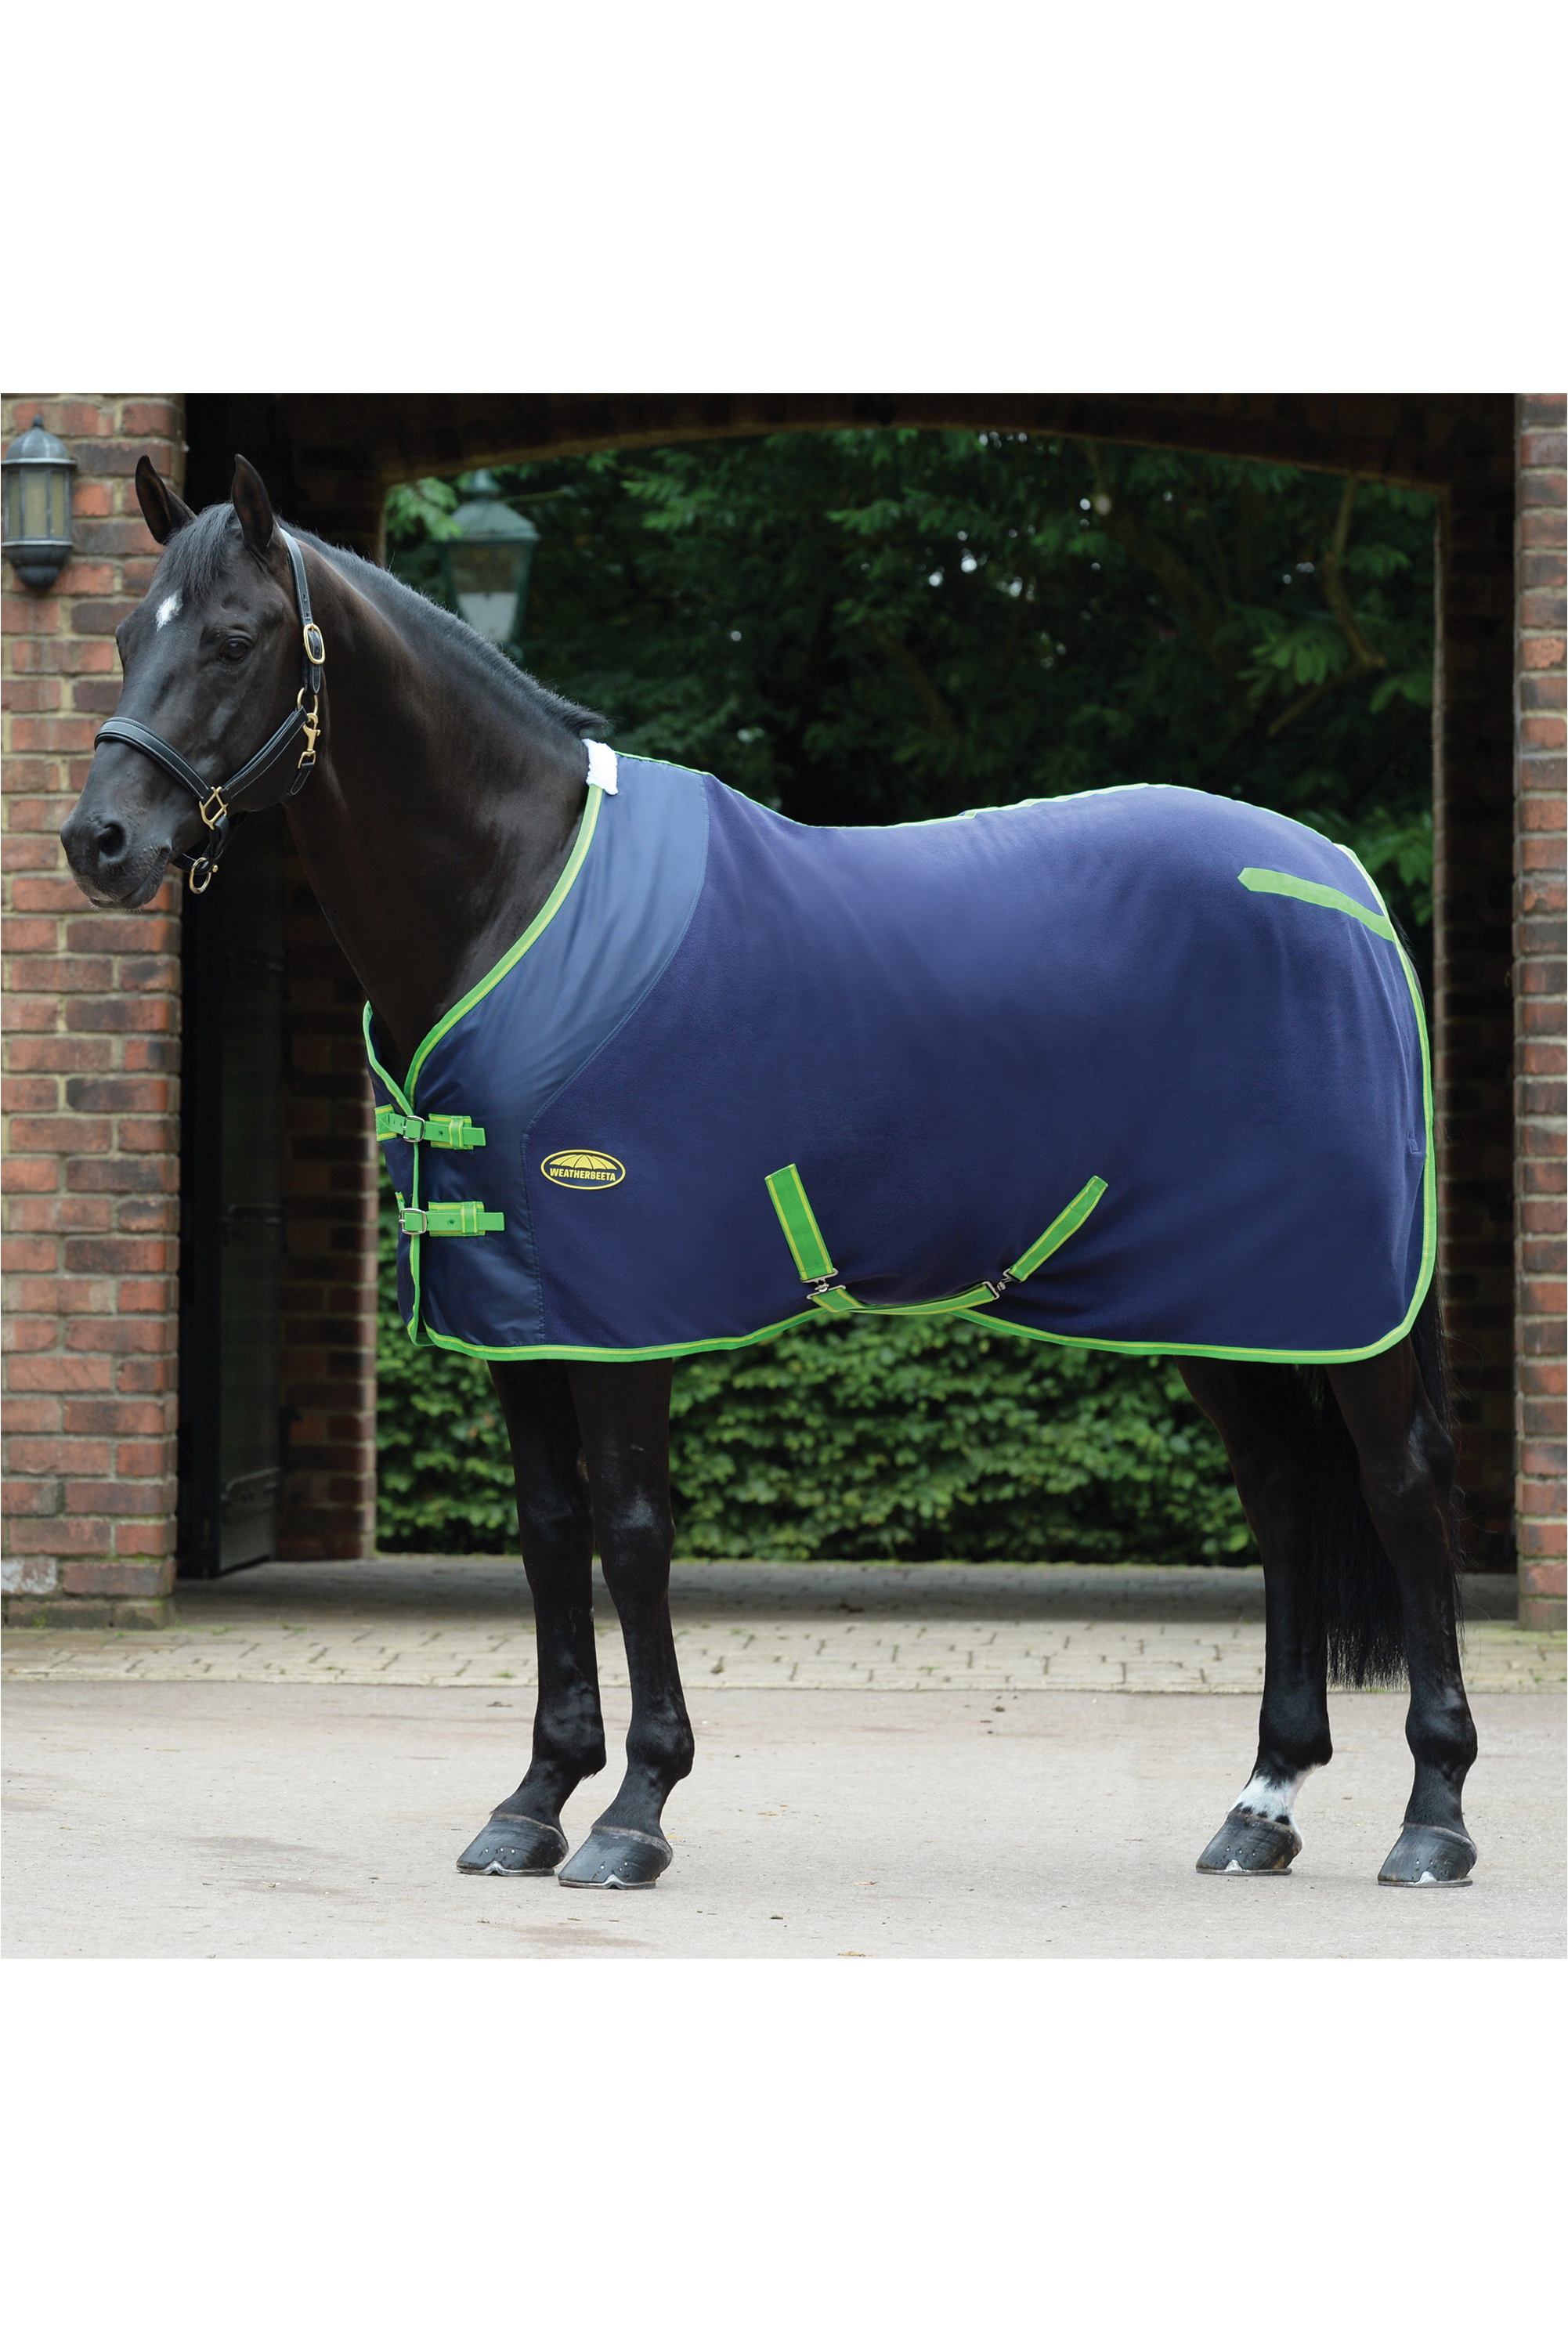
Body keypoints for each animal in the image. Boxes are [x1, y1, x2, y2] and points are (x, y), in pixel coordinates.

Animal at [60, 454, 1481, 1897]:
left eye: (235, 637)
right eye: (122, 636)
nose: (99, 839)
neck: (516, 897)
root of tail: (1340, 878)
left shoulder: (623, 1317)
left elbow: (634, 1531)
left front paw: (634, 1811)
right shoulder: (520, 1314)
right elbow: (549, 1531)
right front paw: (534, 1798)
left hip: (1342, 1301)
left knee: (1400, 1486)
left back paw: (1432, 1814)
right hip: (1227, 1302)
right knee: (1284, 1497)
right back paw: (1262, 1803)